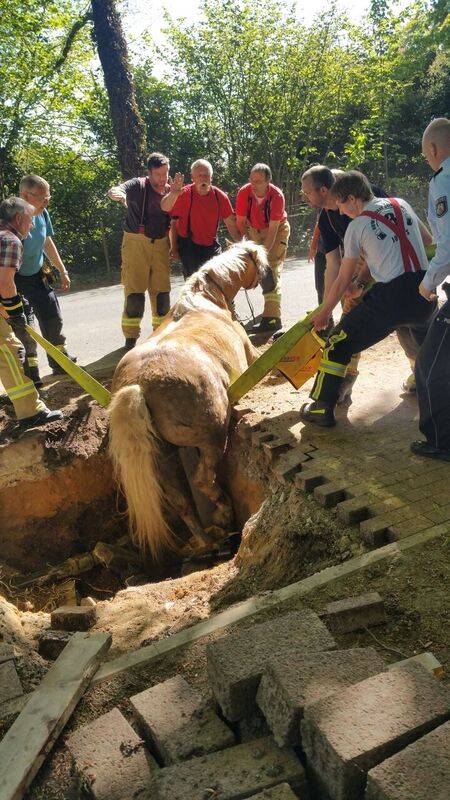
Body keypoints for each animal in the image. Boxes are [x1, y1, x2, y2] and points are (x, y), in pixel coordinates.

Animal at [108, 240, 272, 560]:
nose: (268, 275)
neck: (204, 299)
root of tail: (139, 384)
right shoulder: (251, 357)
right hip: (212, 437)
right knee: (203, 480)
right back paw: (224, 515)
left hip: (164, 455)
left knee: (180, 501)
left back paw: (209, 542)